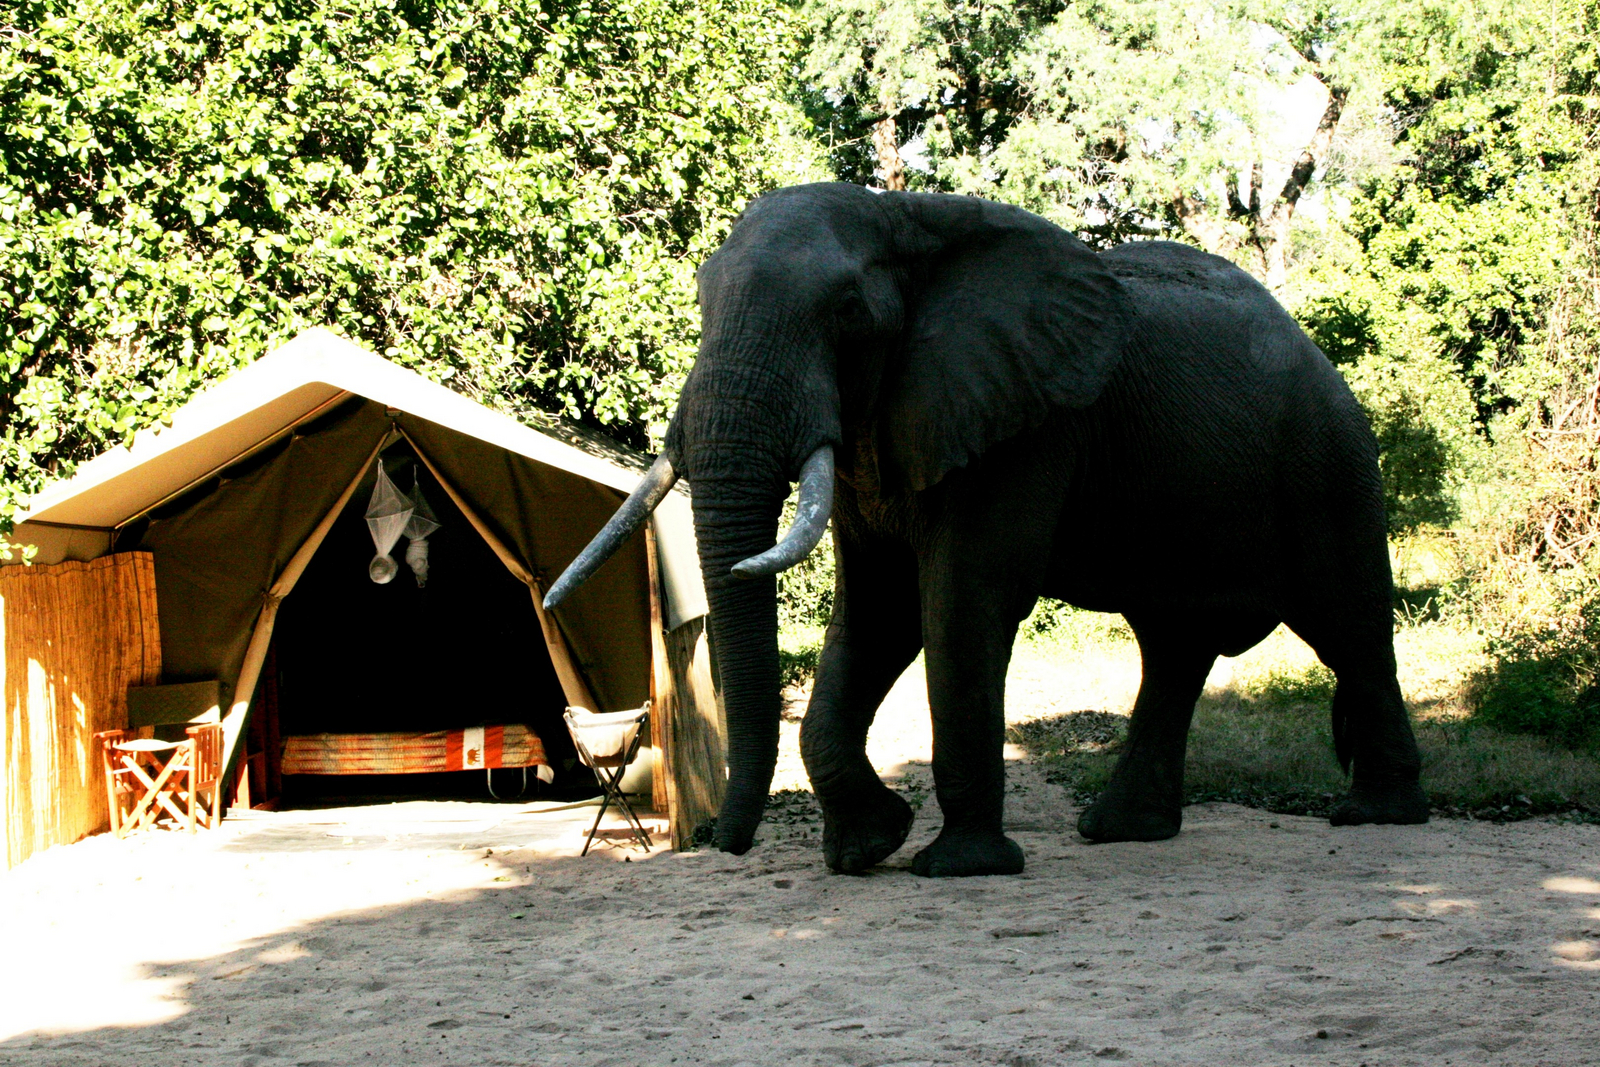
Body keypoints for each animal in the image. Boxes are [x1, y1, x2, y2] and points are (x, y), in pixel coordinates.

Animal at [547, 181, 1429, 877]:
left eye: (846, 313)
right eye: (700, 302)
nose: (720, 844)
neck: (904, 218)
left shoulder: (1024, 425)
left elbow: (960, 602)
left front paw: (956, 866)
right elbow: (876, 615)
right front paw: (868, 848)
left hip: (1328, 461)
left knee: (1348, 624)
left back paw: (1377, 816)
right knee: (1175, 649)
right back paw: (1121, 832)